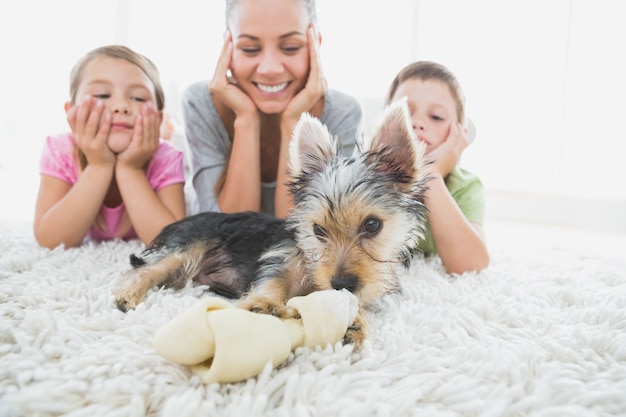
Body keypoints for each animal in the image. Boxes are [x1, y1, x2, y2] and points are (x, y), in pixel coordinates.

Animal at [112, 99, 426, 346]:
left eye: (372, 225)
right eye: (318, 230)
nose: (341, 284)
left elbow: (355, 303)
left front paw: (356, 324)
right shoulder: (280, 257)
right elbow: (273, 280)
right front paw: (263, 304)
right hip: (186, 246)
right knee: (147, 270)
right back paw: (127, 294)